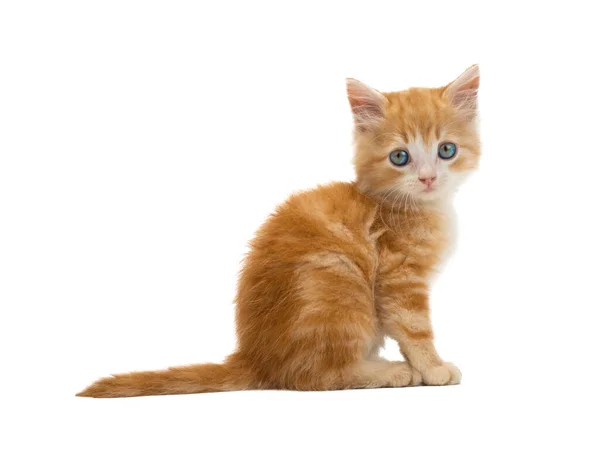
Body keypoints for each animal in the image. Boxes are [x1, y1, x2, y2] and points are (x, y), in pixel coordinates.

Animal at [77, 65, 480, 398]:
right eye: (400, 157)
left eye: (446, 150)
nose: (428, 178)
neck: (408, 205)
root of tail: (256, 357)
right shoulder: (399, 279)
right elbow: (414, 329)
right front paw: (433, 368)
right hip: (337, 278)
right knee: (317, 377)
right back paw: (388, 372)